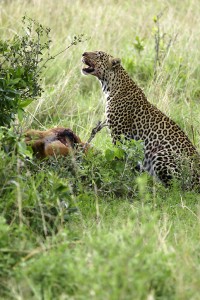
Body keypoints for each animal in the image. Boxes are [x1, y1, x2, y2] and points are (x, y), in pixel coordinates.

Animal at [81, 50, 200, 189]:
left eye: (98, 54)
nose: (83, 53)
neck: (109, 85)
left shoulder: (120, 135)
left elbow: (118, 157)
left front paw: (117, 173)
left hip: (161, 154)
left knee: (175, 187)